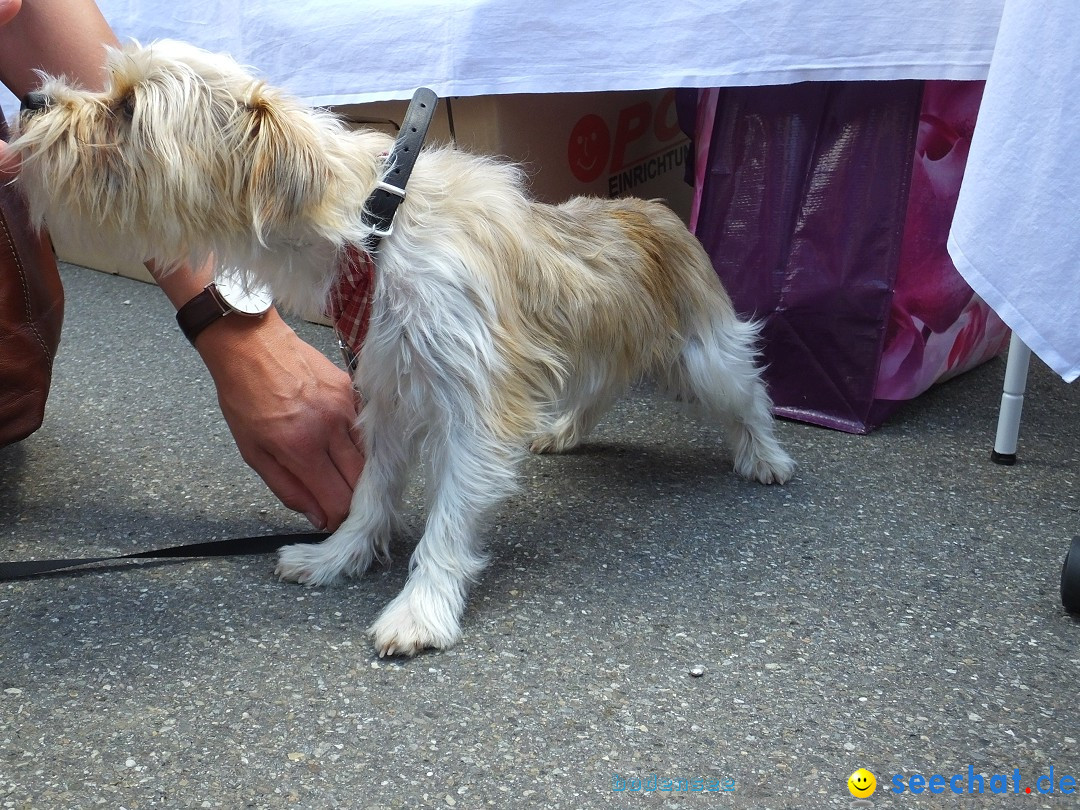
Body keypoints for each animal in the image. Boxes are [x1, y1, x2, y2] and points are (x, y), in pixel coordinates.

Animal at [12, 41, 799, 656]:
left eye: (127, 110)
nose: (29, 100)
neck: (373, 229)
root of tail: (653, 207)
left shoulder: (477, 411)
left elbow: (448, 520)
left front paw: (422, 609)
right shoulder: (388, 399)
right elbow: (370, 494)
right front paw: (340, 556)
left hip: (707, 355)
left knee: (750, 395)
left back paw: (766, 458)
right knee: (599, 390)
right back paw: (565, 430)